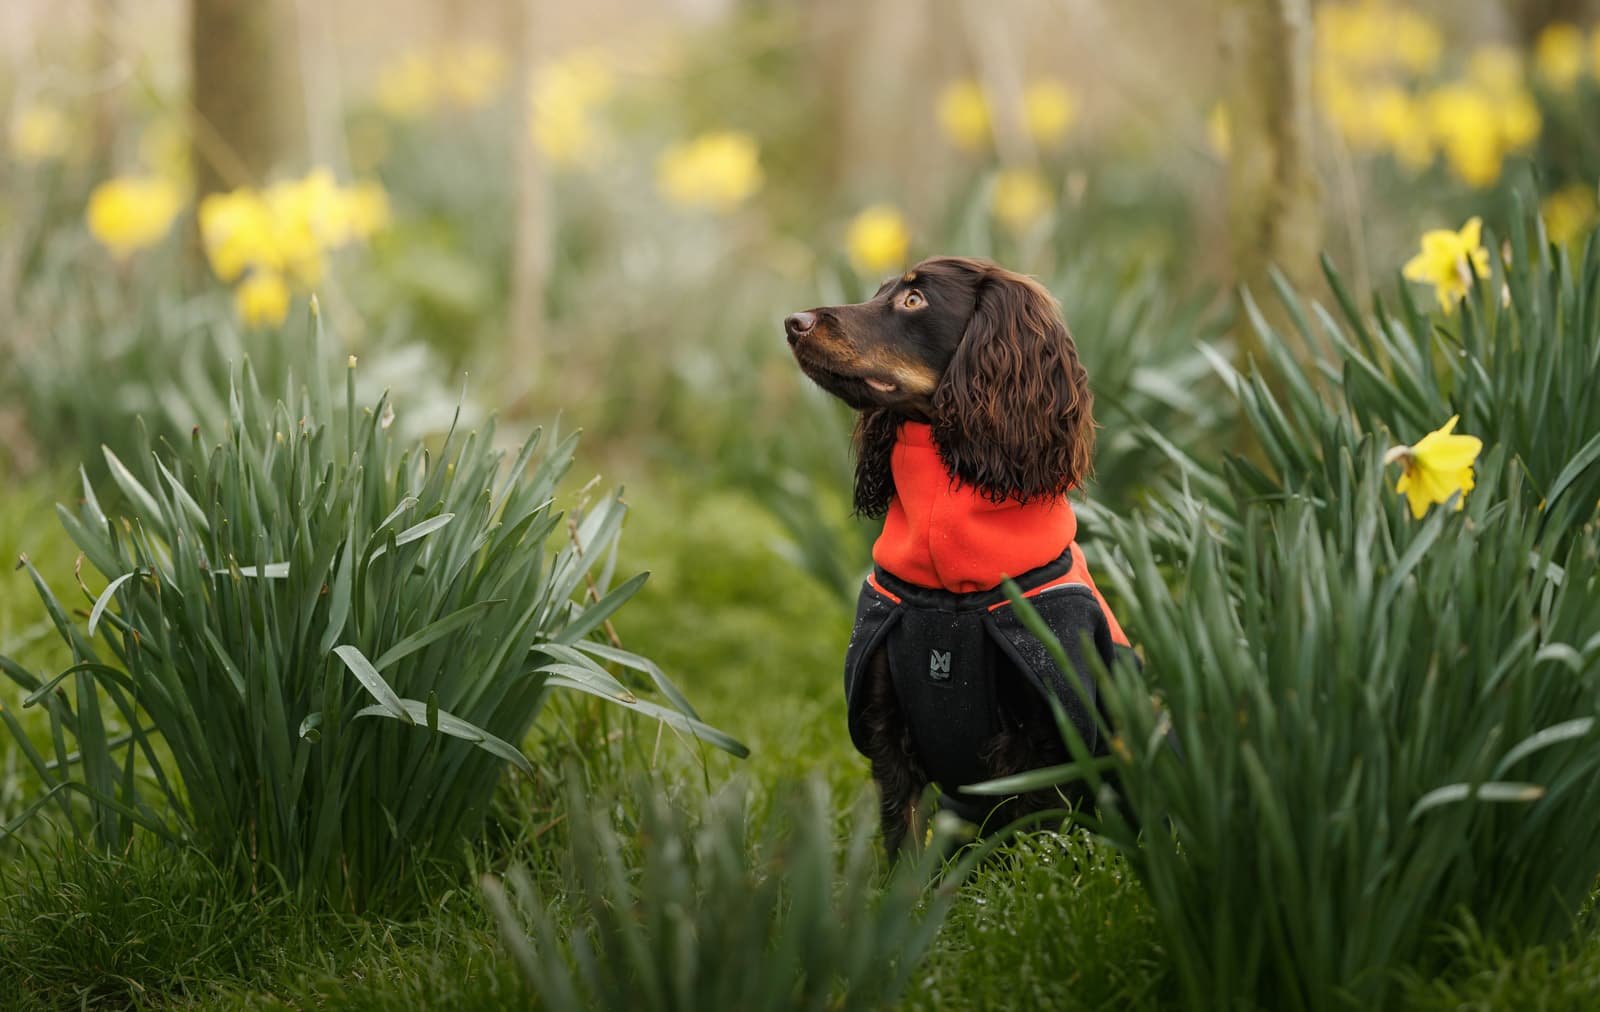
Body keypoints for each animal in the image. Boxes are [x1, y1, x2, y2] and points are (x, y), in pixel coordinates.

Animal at [780, 254, 1132, 851]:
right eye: (880, 292)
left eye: (914, 300)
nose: (792, 322)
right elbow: (902, 840)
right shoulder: (886, 723)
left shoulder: (1045, 741)